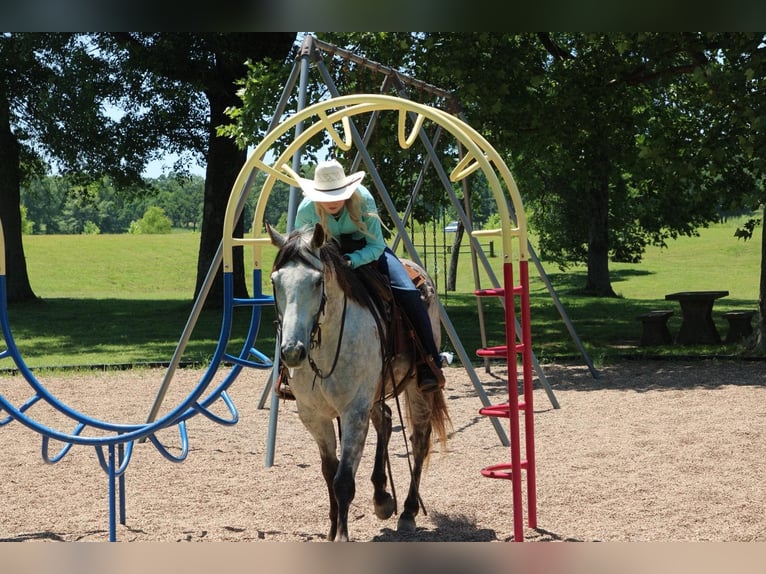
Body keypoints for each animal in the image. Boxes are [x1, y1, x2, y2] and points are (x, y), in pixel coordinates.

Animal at [267, 222, 451, 542]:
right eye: (275, 281)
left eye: (317, 281)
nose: (292, 351)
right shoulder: (314, 416)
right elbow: (330, 472)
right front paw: (332, 531)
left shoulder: (353, 412)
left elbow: (343, 480)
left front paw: (342, 536)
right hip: (374, 393)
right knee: (386, 419)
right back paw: (382, 498)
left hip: (416, 388)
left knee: (419, 440)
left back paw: (408, 511)